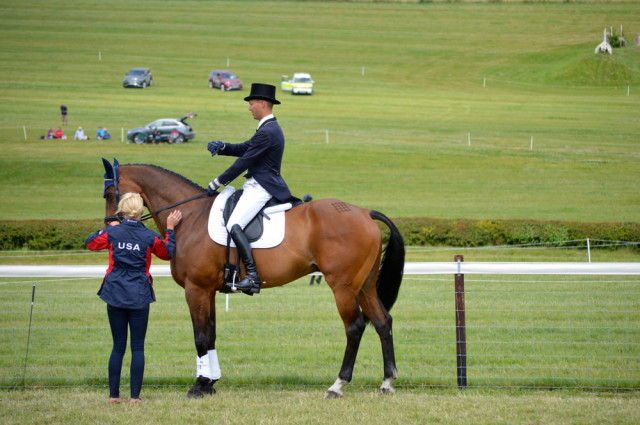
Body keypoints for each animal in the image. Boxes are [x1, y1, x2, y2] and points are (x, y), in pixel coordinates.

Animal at [100, 159, 404, 398]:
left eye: (110, 193)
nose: (110, 226)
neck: (189, 217)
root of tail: (365, 212)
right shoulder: (209, 290)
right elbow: (211, 334)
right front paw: (210, 383)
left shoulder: (195, 289)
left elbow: (200, 336)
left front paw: (199, 386)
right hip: (364, 286)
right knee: (382, 322)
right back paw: (386, 383)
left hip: (343, 287)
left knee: (354, 327)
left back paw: (337, 385)